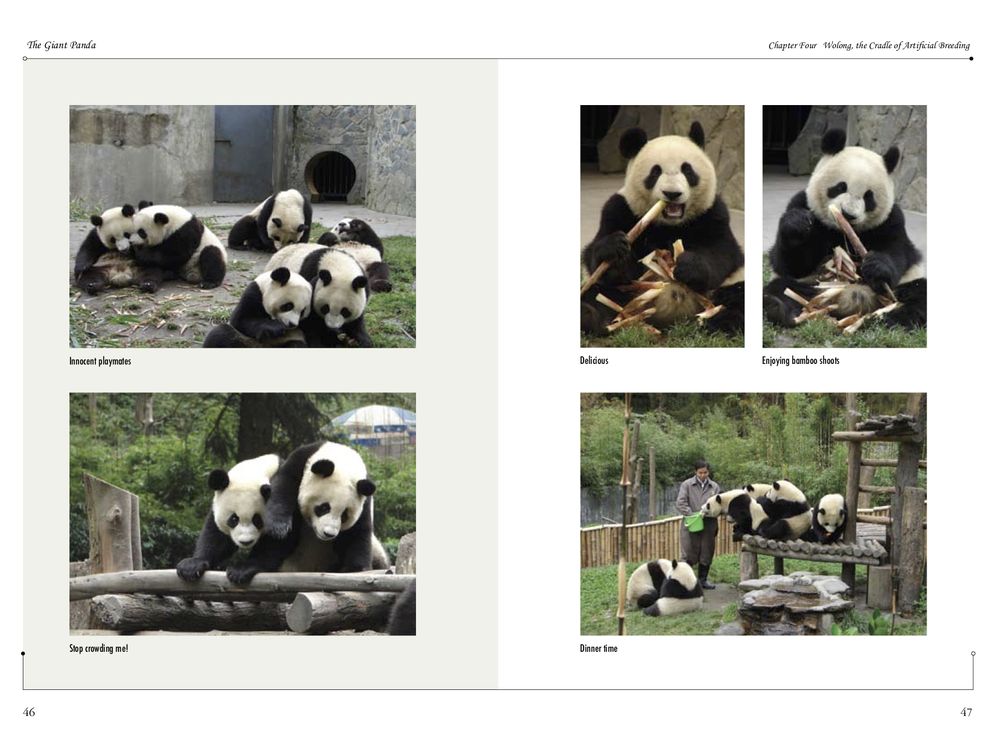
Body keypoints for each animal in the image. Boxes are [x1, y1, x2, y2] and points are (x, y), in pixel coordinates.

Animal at [225, 441, 377, 584]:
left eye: (344, 515)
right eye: (324, 508)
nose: (328, 534)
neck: (343, 458)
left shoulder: (365, 501)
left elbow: (357, 533)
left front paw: (355, 569)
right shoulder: (300, 462)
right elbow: (283, 488)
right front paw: (279, 527)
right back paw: (245, 569)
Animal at [581, 122, 744, 336]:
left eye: (687, 170)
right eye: (655, 172)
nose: (672, 193)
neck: (669, 224)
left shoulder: (713, 213)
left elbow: (722, 252)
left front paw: (689, 265)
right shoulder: (620, 210)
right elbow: (599, 259)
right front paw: (615, 250)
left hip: (724, 288)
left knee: (740, 295)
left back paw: (723, 321)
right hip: (625, 296)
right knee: (598, 294)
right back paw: (588, 315)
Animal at [764, 129, 926, 329]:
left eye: (868, 197)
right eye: (840, 187)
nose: (848, 214)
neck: (843, 231)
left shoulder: (891, 221)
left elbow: (897, 251)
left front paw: (876, 266)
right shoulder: (803, 204)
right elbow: (792, 264)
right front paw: (797, 224)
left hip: (907, 283)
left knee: (920, 294)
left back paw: (895, 318)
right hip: (811, 286)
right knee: (782, 288)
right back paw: (777, 308)